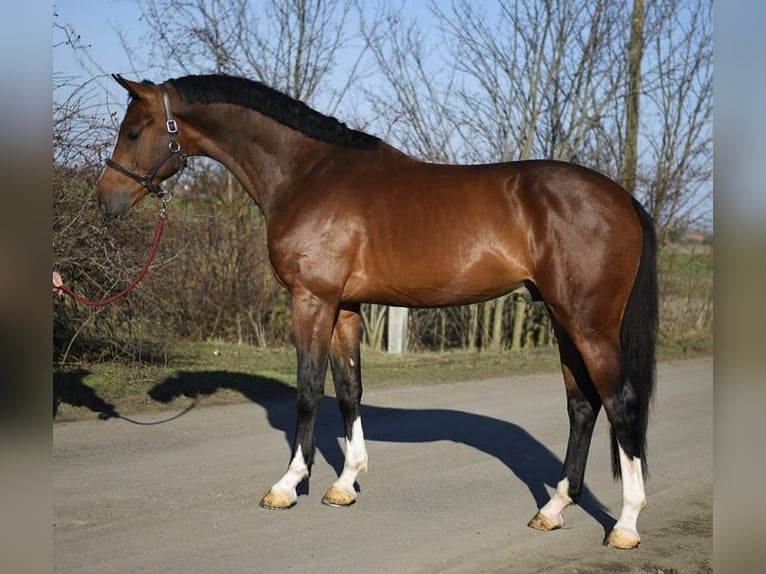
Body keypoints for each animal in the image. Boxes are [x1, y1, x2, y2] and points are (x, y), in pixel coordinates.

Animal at [96, 73, 657, 549]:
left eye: (134, 130)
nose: (106, 202)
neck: (306, 174)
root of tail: (624, 199)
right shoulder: (344, 306)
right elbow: (349, 390)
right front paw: (345, 483)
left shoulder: (312, 300)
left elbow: (308, 390)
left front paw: (287, 484)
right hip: (564, 321)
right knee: (582, 407)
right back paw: (554, 508)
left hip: (589, 325)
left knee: (621, 404)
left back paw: (626, 525)